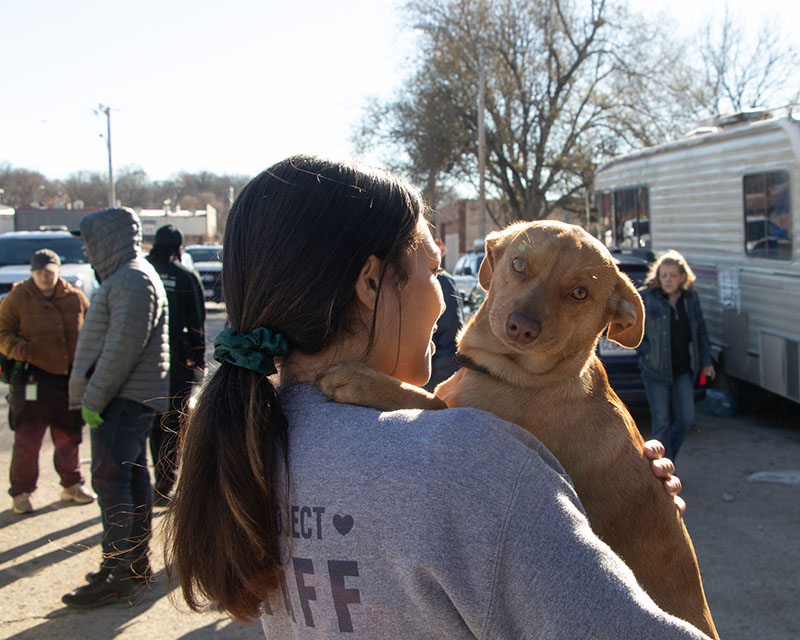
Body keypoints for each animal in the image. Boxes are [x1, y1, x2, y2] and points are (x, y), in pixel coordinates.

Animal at [318, 221, 720, 640]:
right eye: (519, 264)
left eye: (580, 293)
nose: (521, 327)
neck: (517, 376)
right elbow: (432, 396)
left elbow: (425, 399)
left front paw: (362, 380)